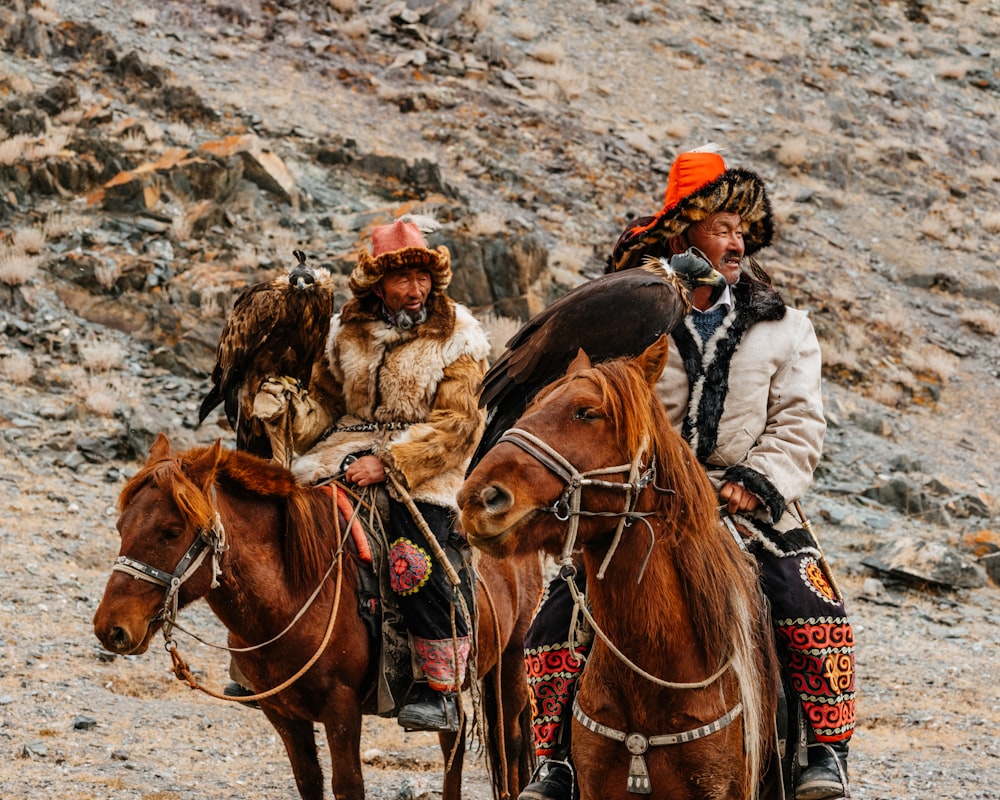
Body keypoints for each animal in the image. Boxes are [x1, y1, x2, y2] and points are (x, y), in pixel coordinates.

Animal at [94, 434, 544, 800]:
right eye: (119, 526)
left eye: (171, 531)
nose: (111, 629)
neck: (294, 593)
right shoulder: (281, 713)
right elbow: (309, 781)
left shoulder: (340, 709)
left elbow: (348, 785)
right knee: (454, 743)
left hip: (511, 660)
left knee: (510, 743)